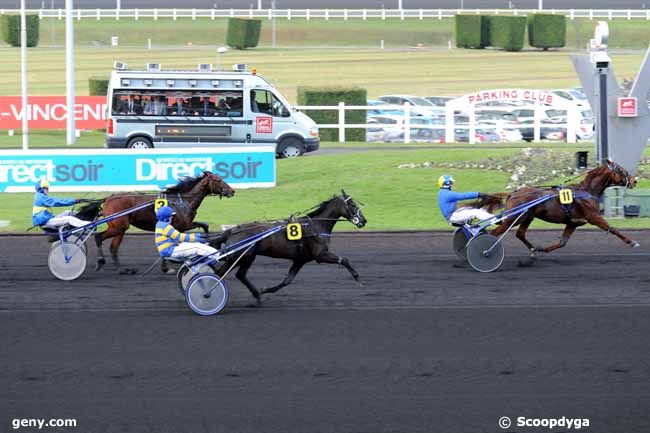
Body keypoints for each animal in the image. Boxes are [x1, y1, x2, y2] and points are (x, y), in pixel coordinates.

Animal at [90, 170, 234, 272]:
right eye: (218, 180)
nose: (232, 191)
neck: (182, 201)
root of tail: (108, 199)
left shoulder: (185, 225)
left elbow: (204, 226)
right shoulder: (178, 227)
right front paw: (167, 266)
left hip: (120, 229)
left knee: (113, 248)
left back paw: (121, 269)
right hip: (118, 227)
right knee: (98, 237)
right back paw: (100, 261)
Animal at [210, 191, 368, 302]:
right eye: (353, 205)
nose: (364, 221)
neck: (316, 226)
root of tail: (233, 230)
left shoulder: (300, 260)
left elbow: (287, 281)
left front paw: (265, 290)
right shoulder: (320, 255)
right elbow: (344, 259)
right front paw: (357, 277)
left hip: (246, 257)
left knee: (238, 275)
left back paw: (256, 295)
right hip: (240, 256)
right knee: (222, 273)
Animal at [488, 159, 636, 253]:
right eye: (621, 170)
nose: (634, 181)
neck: (587, 191)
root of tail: (513, 193)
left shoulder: (573, 223)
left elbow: (562, 243)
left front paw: (543, 249)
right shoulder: (594, 217)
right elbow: (613, 229)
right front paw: (632, 242)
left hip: (527, 217)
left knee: (520, 234)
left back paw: (533, 249)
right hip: (513, 219)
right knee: (493, 234)